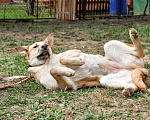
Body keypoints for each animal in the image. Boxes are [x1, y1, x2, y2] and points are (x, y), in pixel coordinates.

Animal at [14, 28, 148, 97]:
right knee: (135, 86)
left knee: (140, 52)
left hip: (109, 44)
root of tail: (138, 70)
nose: (45, 46)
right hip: (107, 81)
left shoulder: (74, 51)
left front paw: (76, 62)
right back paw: (128, 90)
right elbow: (53, 70)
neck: (44, 63)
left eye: (46, 44)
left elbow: (61, 60)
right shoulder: (66, 86)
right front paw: (68, 70)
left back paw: (134, 35)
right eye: (35, 46)